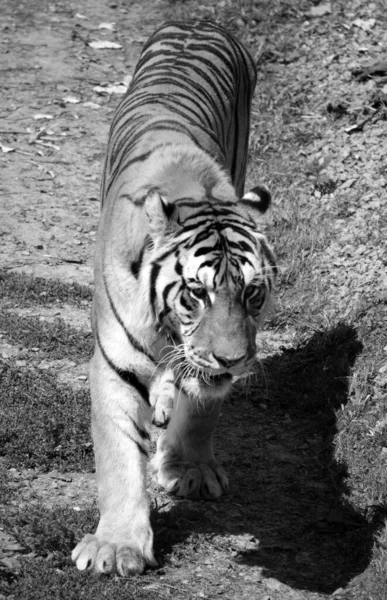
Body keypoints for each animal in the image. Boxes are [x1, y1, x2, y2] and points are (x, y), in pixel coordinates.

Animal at [72, 21, 276, 576]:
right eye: (196, 293)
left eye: (252, 292)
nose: (234, 359)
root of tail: (201, 20)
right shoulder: (114, 362)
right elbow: (119, 456)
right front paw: (117, 546)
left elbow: (203, 406)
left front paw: (190, 471)